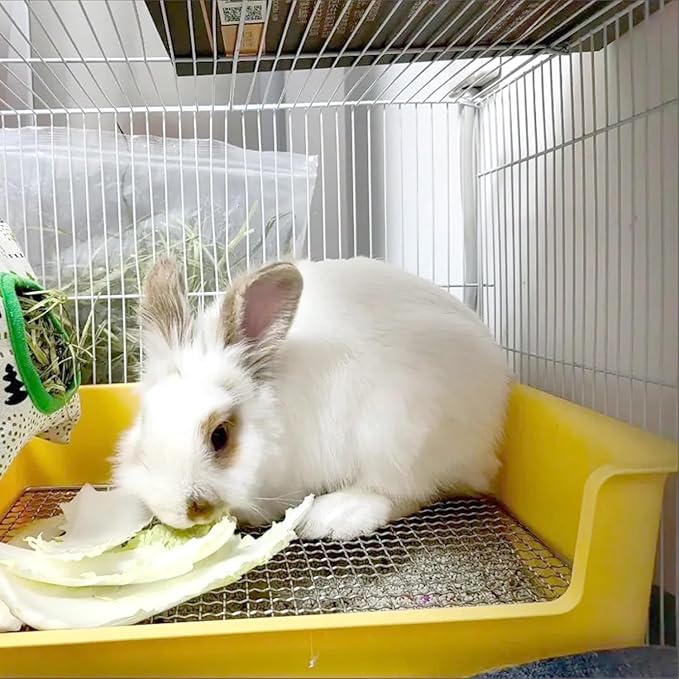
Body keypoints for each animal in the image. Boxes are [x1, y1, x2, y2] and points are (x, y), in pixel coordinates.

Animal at [113, 256, 510, 541]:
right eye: (144, 426)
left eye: (220, 436)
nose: (179, 510)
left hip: (400, 441)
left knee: (407, 491)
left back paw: (335, 517)